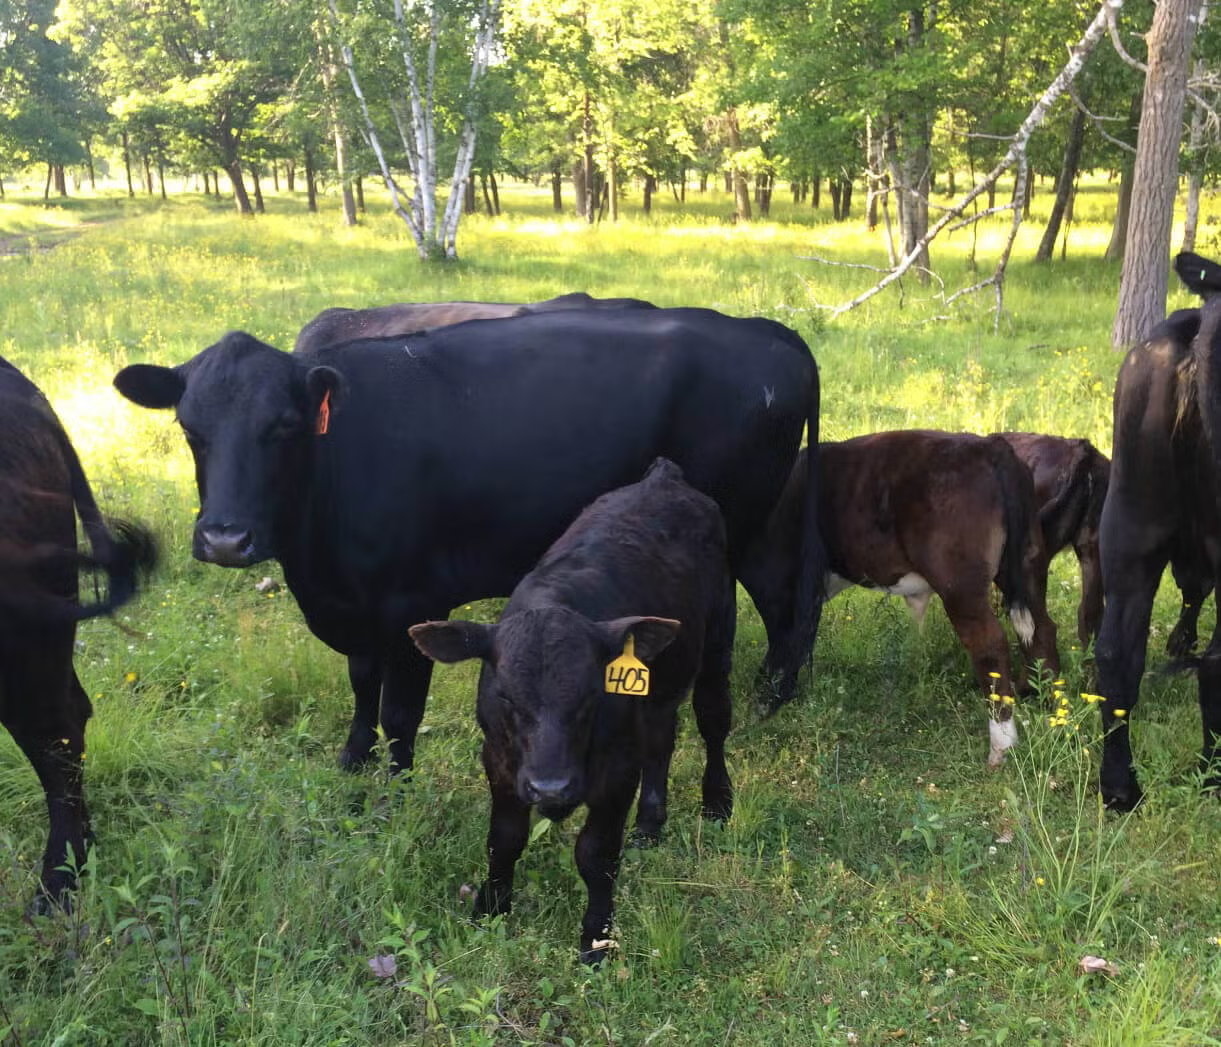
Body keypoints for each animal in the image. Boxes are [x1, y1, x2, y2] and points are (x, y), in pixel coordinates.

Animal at [113, 307, 826, 776]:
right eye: (190, 429)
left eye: (284, 426)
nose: (225, 538)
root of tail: (772, 333)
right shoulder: (353, 606)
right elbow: (361, 685)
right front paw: (351, 761)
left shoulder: (412, 603)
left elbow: (401, 712)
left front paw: (396, 789)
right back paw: (776, 692)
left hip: (735, 524)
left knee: (778, 599)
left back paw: (772, 696)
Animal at [410, 458, 735, 964]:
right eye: (505, 695)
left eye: (589, 693)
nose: (551, 787)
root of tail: (664, 476)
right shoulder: (499, 759)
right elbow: (503, 840)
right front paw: (491, 907)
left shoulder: (617, 769)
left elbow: (595, 854)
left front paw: (596, 937)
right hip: (658, 686)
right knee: (661, 740)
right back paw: (649, 824)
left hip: (719, 635)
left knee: (713, 720)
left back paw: (717, 799)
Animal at [744, 430, 1060, 767]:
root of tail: (989, 447)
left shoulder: (778, 586)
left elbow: (783, 643)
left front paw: (765, 703)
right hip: (1027, 566)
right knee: (1041, 629)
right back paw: (1049, 705)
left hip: (960, 586)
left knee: (989, 645)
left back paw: (1001, 744)